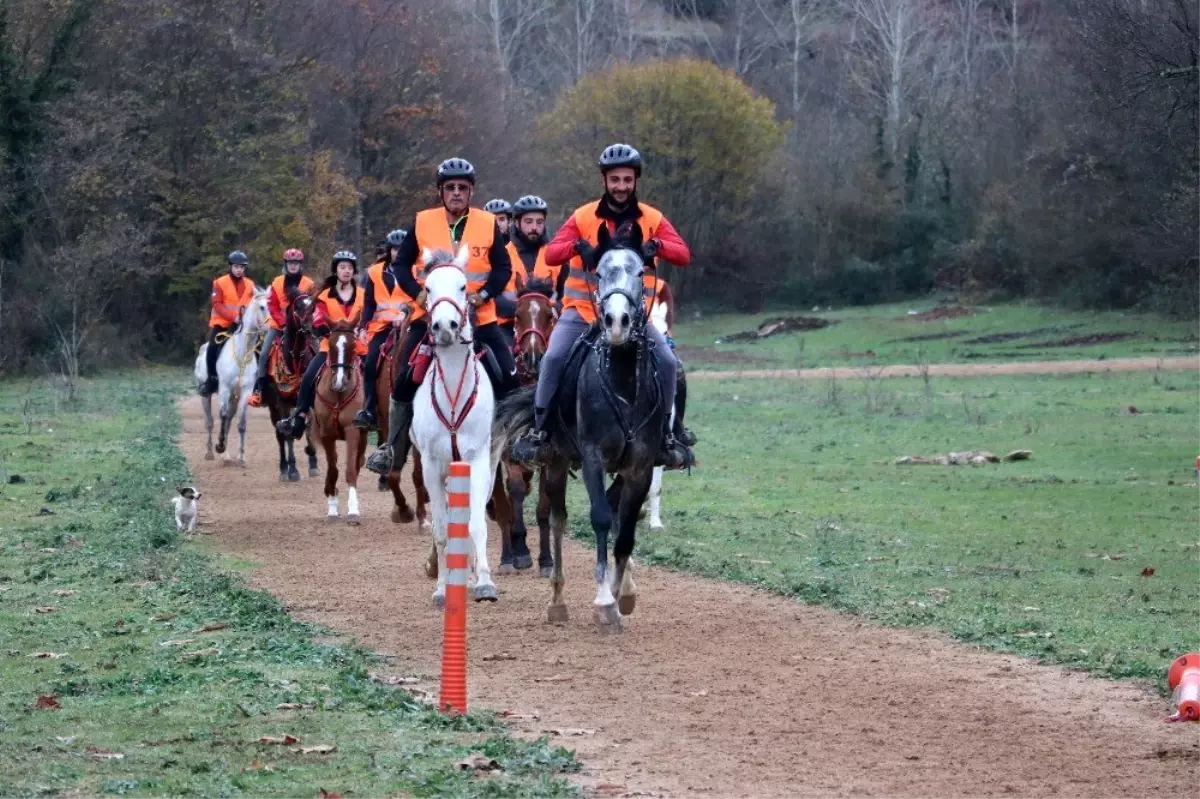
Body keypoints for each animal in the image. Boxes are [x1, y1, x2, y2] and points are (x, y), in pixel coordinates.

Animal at [193, 286, 271, 463]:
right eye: (262, 307)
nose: (273, 327)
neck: (242, 355)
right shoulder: (224, 389)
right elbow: (221, 416)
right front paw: (219, 446)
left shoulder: (245, 392)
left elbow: (240, 423)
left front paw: (241, 456)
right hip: (206, 396)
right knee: (210, 422)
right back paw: (211, 451)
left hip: (233, 399)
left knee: (228, 420)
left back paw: (227, 455)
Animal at [261, 292, 319, 479]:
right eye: (299, 307)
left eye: (313, 307)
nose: (309, 329)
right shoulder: (282, 403)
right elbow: (287, 435)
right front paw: (292, 469)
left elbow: (308, 427)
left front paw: (313, 463)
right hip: (273, 407)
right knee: (280, 435)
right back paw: (283, 468)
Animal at [312, 323, 367, 523]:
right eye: (330, 346)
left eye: (353, 346)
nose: (339, 382)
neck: (337, 395)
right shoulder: (326, 433)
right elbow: (332, 469)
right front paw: (333, 509)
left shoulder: (353, 430)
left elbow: (350, 470)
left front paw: (353, 511)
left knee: (358, 463)